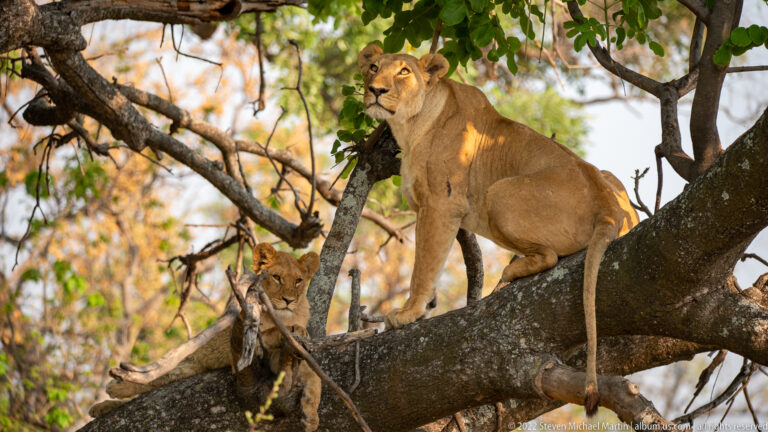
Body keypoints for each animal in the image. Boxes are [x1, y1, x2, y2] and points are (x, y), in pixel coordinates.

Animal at [90, 243, 322, 431]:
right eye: (277, 277)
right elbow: (272, 334)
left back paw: (105, 403)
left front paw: (311, 416)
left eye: (299, 281)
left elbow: (313, 375)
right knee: (154, 376)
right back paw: (113, 390)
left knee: (162, 378)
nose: (288, 300)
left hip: (190, 366)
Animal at [357, 42, 639, 415]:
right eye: (373, 67)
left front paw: (408, 313)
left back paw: (509, 273)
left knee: (549, 256)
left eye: (404, 71)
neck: (411, 124)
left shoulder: (442, 204)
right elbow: (429, 262)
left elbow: (424, 265)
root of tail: (607, 207)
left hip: (498, 193)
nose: (376, 90)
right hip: (605, 179)